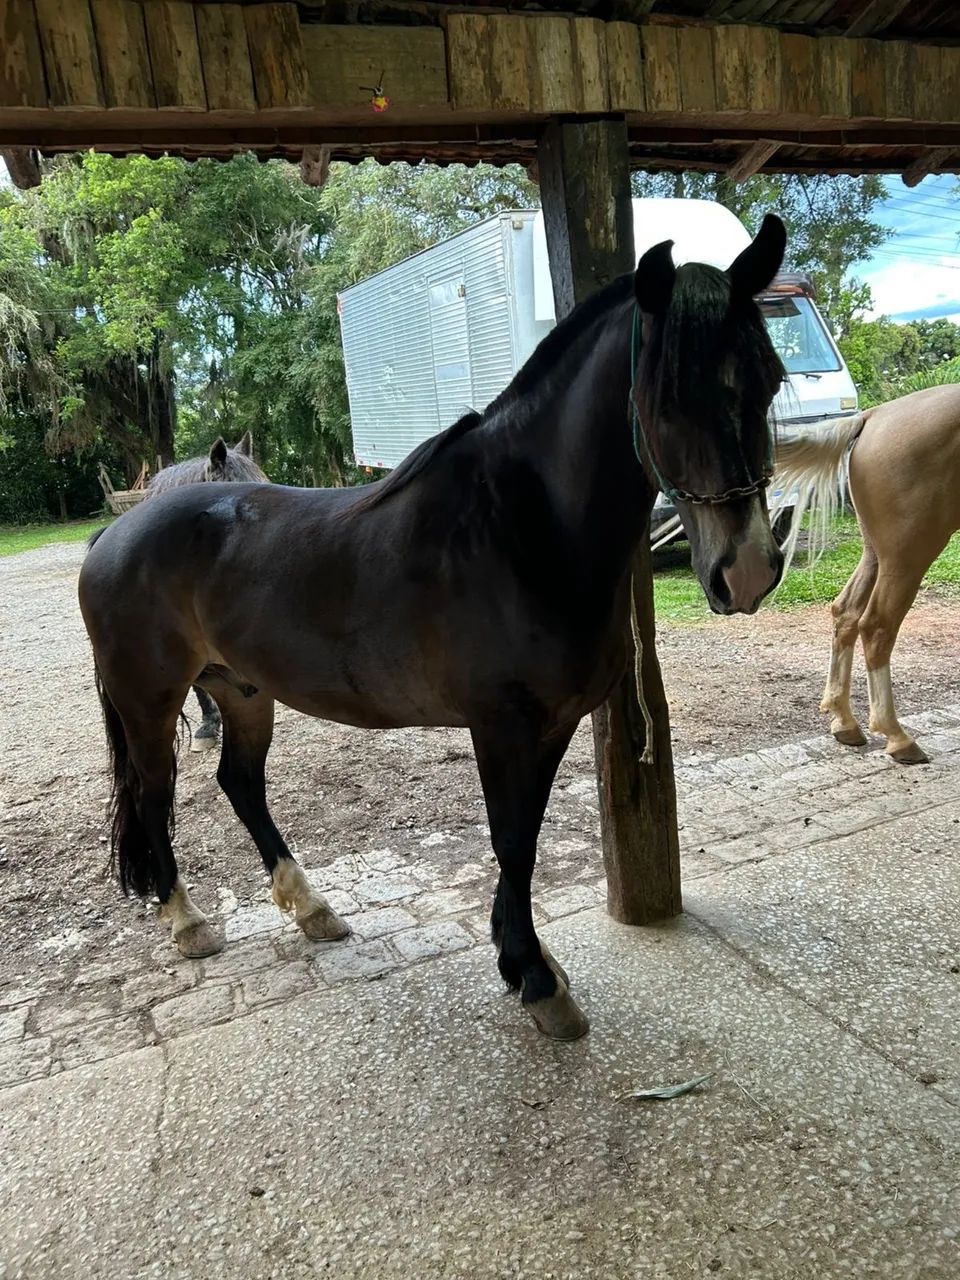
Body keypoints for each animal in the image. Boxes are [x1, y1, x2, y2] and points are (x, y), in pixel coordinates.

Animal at [773, 382, 960, 765]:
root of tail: (873, 417)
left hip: (876, 555)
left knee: (845, 612)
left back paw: (845, 721)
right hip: (907, 556)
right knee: (876, 626)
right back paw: (897, 736)